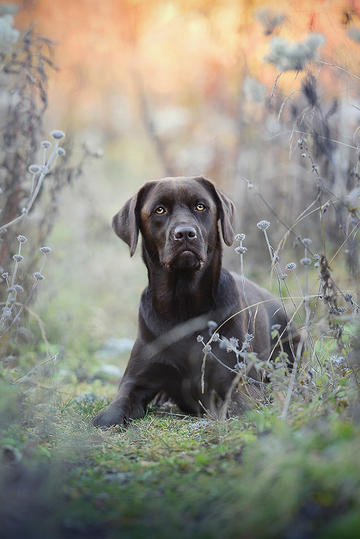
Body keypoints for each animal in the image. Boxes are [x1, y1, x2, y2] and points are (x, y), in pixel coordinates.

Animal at [93, 179, 298, 428]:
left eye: (201, 206)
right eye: (159, 209)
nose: (185, 233)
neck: (183, 306)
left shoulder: (240, 382)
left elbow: (241, 405)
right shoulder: (135, 381)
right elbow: (113, 409)